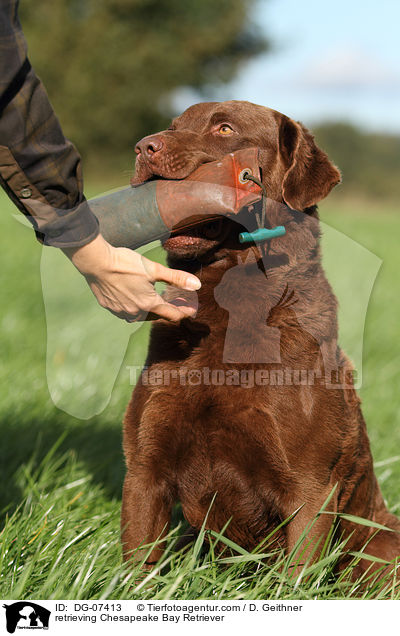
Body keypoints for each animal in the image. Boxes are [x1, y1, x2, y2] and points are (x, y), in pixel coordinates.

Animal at [122, 99, 400, 576]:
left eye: (225, 129)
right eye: (175, 125)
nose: (144, 147)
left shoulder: (310, 486)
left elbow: (298, 575)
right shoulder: (144, 466)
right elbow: (137, 564)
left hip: (382, 541)